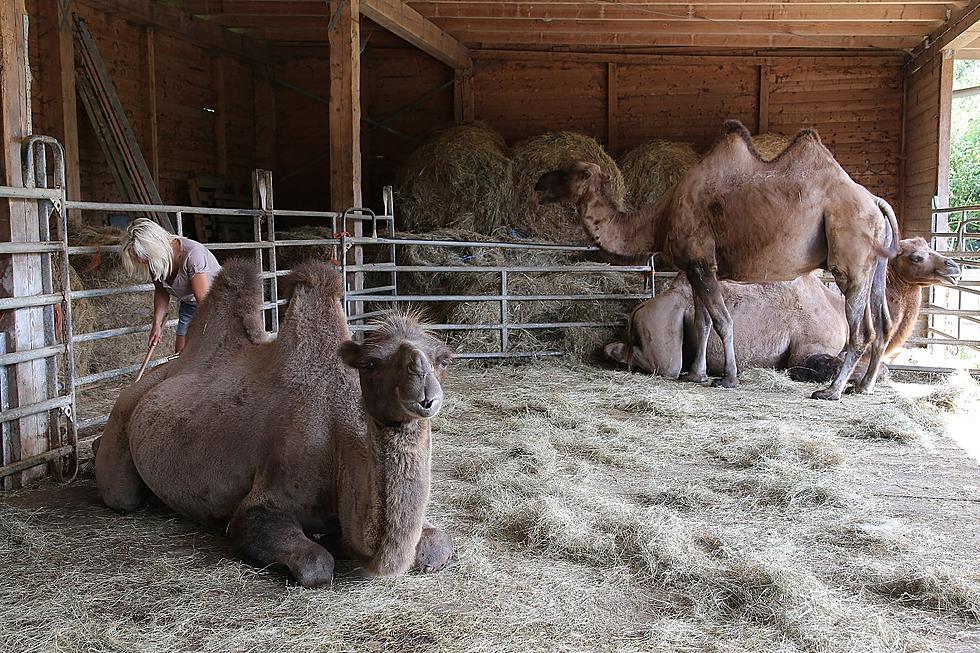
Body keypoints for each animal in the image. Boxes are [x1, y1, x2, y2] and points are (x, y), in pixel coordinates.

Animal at [540, 119, 900, 400]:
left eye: (575, 172)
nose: (539, 181)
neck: (659, 219)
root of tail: (874, 202)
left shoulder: (703, 261)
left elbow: (724, 321)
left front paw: (727, 379)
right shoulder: (692, 266)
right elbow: (703, 322)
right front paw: (696, 375)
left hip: (850, 259)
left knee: (861, 330)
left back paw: (831, 391)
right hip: (875, 262)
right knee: (884, 323)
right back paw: (862, 387)